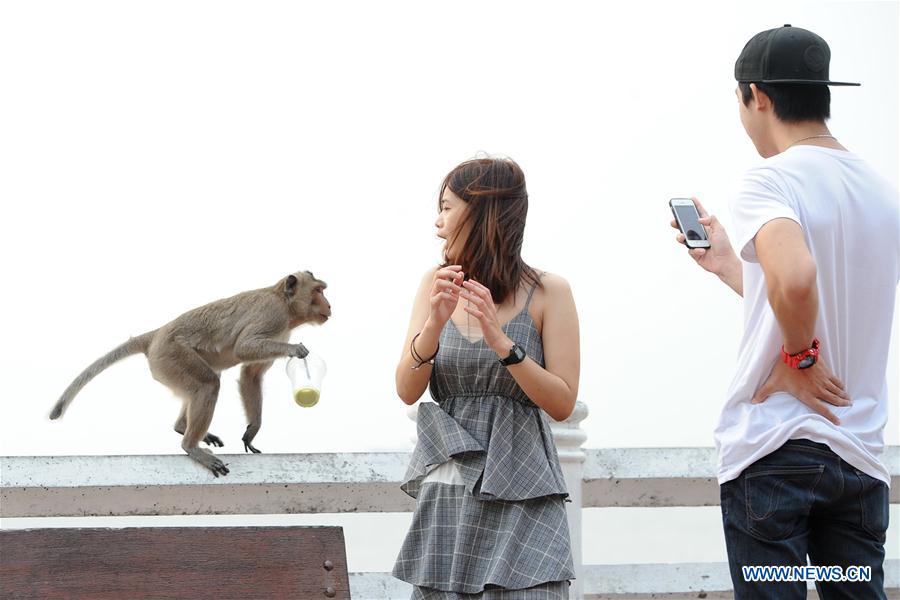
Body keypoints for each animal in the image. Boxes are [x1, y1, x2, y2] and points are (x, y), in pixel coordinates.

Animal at [50, 271, 331, 477]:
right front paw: (296, 350)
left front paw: (253, 429)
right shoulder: (272, 315)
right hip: (171, 355)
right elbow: (244, 348)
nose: (329, 305)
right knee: (208, 383)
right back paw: (191, 446)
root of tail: (157, 334)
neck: (284, 304)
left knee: (202, 384)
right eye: (317, 291)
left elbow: (251, 375)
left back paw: (182, 428)